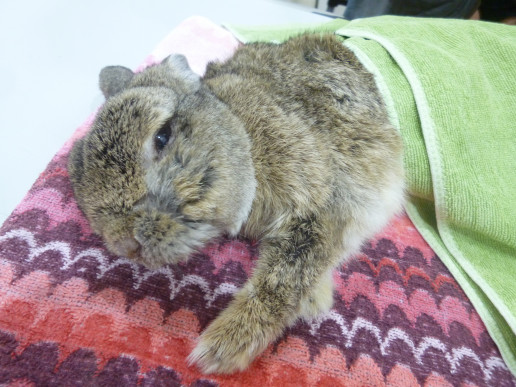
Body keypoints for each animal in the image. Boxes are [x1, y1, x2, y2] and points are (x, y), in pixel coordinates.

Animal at [68, 34, 406, 376]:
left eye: (162, 136)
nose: (124, 243)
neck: (243, 132)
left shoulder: (323, 204)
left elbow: (284, 280)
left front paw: (219, 350)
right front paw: (317, 300)